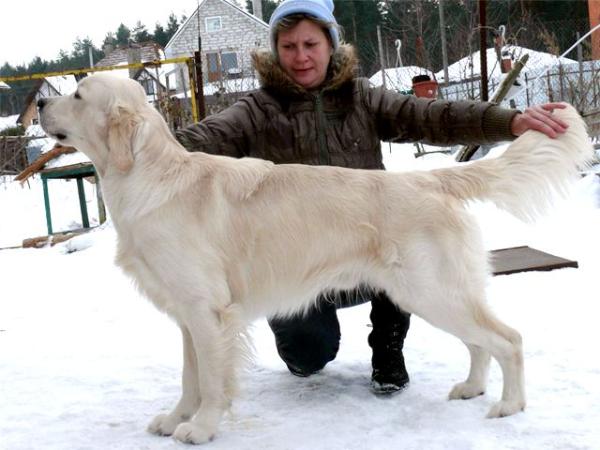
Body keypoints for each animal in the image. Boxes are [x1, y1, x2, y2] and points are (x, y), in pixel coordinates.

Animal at [38, 74, 596, 442]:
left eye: (78, 94)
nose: (39, 99)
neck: (149, 176)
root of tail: (429, 178)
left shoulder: (208, 312)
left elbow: (212, 382)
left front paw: (201, 428)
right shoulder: (186, 315)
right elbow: (189, 377)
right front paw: (177, 418)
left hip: (433, 290)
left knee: (508, 339)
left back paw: (509, 404)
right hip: (431, 293)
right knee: (480, 343)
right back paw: (473, 388)